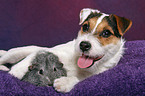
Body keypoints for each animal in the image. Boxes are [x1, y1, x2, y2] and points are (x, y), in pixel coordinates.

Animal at [0, 8, 132, 93]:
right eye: (85, 26)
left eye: (106, 33)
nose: (84, 45)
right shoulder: (52, 52)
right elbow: (29, 59)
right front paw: (15, 72)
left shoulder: (94, 75)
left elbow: (78, 79)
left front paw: (65, 82)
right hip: (15, 53)